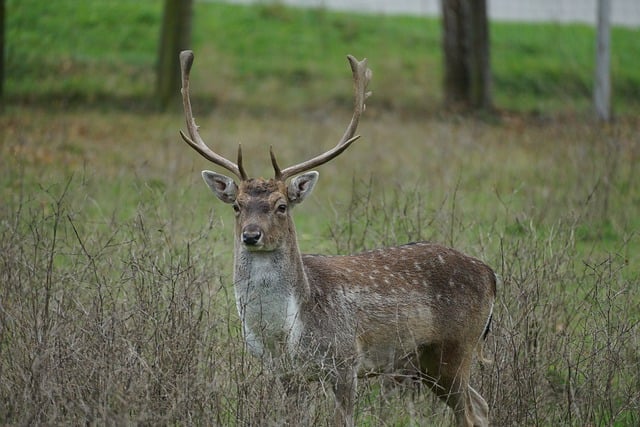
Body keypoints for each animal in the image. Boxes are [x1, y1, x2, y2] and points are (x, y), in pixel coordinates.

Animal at [178, 51, 498, 427]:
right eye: (237, 206)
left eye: (281, 205)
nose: (251, 235)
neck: (285, 333)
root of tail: (491, 275)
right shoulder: (286, 374)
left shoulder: (346, 360)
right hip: (426, 361)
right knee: (482, 405)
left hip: (458, 345)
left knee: (470, 412)